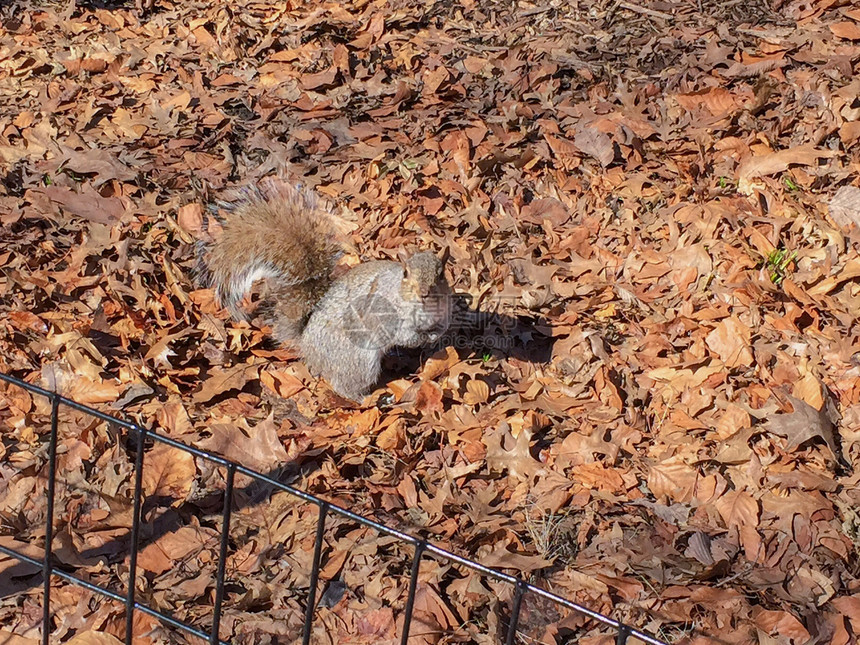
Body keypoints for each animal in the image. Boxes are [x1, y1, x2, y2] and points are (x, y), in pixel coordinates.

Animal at [201, 176, 450, 398]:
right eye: (406, 274)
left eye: (441, 275)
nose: (424, 293)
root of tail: (307, 346)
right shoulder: (387, 317)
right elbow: (404, 336)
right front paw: (426, 338)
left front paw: (438, 333)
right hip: (357, 361)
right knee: (345, 385)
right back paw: (367, 398)